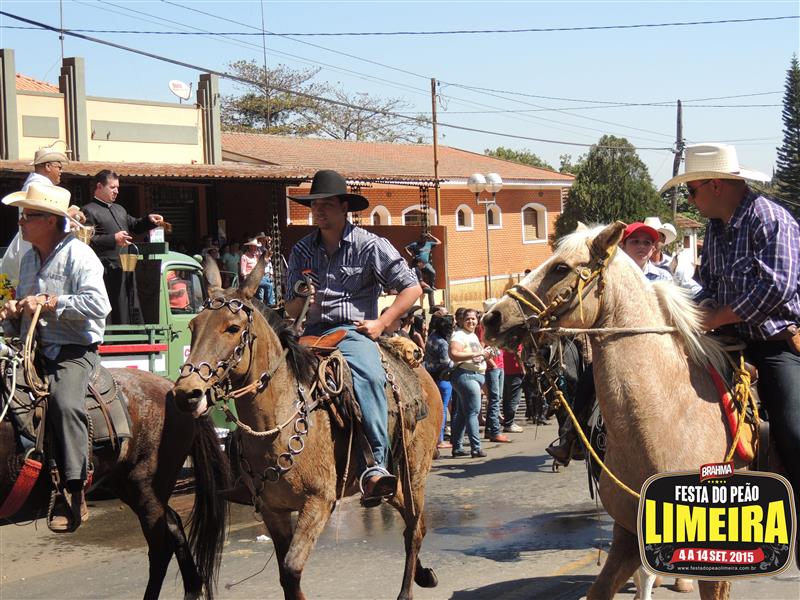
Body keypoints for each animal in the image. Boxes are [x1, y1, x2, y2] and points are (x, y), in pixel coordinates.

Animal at [0, 363, 230, 600]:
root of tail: (172, 388)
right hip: (128, 486)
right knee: (174, 524)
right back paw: (193, 588)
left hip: (145, 486)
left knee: (160, 548)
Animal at [169, 258, 442, 600]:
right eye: (193, 327)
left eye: (232, 328)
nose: (186, 393)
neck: (276, 425)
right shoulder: (273, 511)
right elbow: (286, 578)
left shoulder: (318, 503)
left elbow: (291, 568)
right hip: (396, 483)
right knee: (411, 520)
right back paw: (423, 573)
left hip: (414, 473)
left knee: (414, 529)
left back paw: (406, 590)